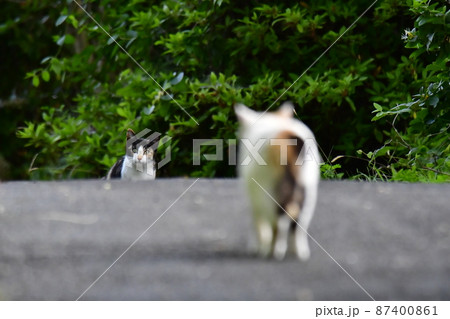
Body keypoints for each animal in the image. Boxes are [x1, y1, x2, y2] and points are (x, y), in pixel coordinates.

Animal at [234, 104, 322, 262]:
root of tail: (287, 136)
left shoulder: (253, 199)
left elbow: (259, 225)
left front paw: (256, 248)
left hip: (267, 192)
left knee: (278, 223)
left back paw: (273, 251)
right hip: (308, 191)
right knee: (299, 224)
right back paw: (299, 252)